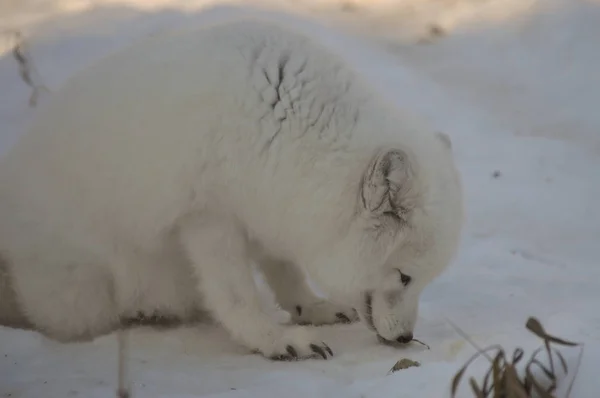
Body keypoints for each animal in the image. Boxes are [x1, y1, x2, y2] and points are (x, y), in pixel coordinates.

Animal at [0, 15, 464, 360]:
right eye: (405, 276)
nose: (405, 339)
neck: (286, 125)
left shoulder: (269, 206)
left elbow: (285, 271)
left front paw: (310, 307)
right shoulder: (208, 219)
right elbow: (237, 297)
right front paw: (276, 341)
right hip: (88, 290)